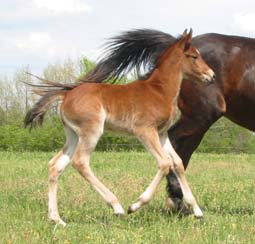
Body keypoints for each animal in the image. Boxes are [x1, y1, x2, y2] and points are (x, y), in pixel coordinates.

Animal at [24, 29, 215, 226]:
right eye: (194, 56)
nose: (211, 75)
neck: (159, 90)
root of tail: (66, 94)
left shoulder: (161, 134)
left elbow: (177, 163)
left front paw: (197, 211)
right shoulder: (145, 131)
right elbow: (164, 163)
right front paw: (135, 205)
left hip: (73, 135)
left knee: (56, 165)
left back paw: (56, 219)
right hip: (91, 131)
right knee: (80, 161)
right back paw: (117, 207)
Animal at [79, 28, 255, 212]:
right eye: (194, 57)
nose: (211, 75)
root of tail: (176, 43)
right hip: (202, 114)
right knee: (177, 144)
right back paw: (175, 200)